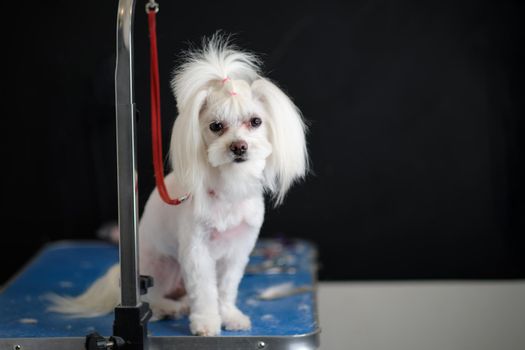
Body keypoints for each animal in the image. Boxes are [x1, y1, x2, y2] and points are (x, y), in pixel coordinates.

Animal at [49, 34, 308, 336]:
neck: (229, 187)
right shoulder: (196, 251)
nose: (238, 146)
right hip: (159, 267)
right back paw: (169, 308)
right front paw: (207, 322)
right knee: (153, 296)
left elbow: (226, 288)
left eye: (255, 121)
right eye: (216, 126)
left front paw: (230, 316)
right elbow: (205, 292)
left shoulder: (237, 250)